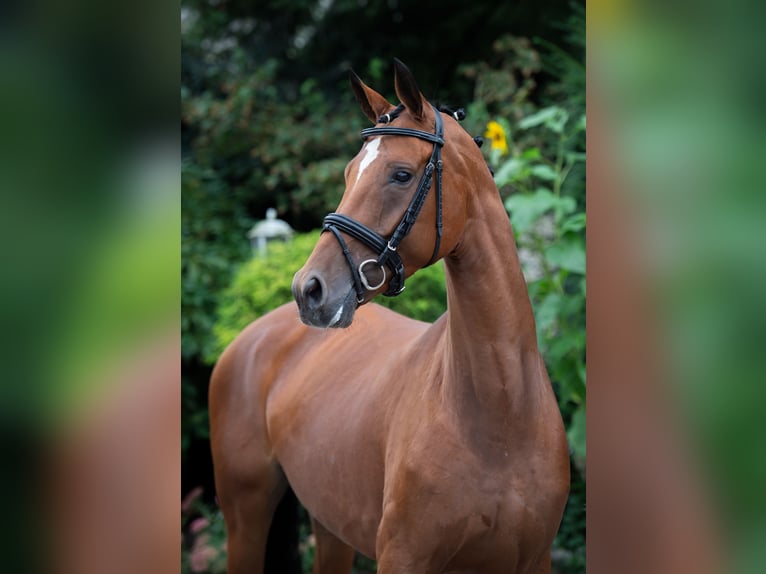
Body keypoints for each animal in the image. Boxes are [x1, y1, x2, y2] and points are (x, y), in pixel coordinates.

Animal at [210, 60, 568, 572]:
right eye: (349, 172)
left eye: (400, 174)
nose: (309, 289)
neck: (502, 415)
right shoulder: (403, 557)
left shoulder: (535, 560)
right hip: (245, 519)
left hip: (330, 523)